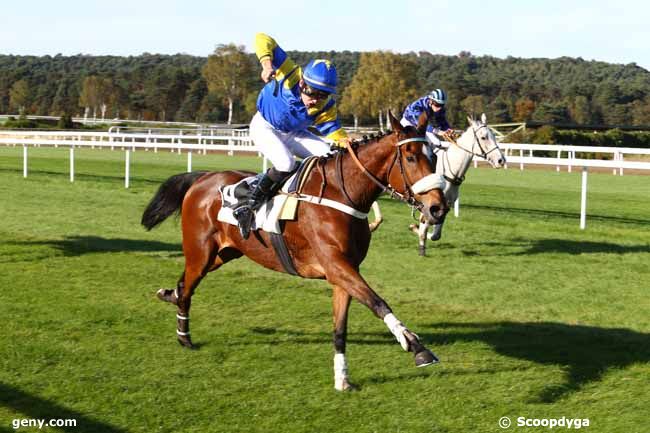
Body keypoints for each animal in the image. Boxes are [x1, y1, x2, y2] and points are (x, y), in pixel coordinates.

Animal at [140, 113, 446, 390]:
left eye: (433, 157)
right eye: (410, 157)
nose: (437, 208)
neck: (341, 194)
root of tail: (202, 178)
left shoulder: (345, 270)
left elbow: (340, 328)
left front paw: (342, 378)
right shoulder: (336, 265)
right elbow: (378, 302)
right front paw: (417, 347)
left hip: (224, 253)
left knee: (183, 285)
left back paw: (169, 296)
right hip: (200, 252)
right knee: (188, 288)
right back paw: (184, 336)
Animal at [368, 113, 504, 255]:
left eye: (494, 136)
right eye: (483, 137)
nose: (501, 160)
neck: (450, 172)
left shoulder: (444, 206)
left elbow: (435, 235)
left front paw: (414, 228)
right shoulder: (427, 205)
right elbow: (424, 229)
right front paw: (421, 245)